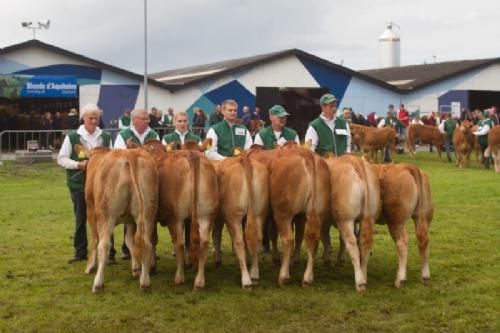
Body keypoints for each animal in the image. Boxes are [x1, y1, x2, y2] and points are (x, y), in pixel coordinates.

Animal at [77, 147, 158, 292]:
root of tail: (130, 153)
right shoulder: (131, 220)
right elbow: (130, 240)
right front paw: (135, 267)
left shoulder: (91, 211)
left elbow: (94, 240)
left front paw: (89, 266)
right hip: (148, 213)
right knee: (146, 243)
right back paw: (144, 281)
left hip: (105, 214)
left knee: (104, 245)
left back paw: (98, 283)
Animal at [143, 139, 217, 288]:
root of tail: (192, 156)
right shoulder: (189, 219)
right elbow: (189, 239)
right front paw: (188, 263)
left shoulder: (152, 216)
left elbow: (153, 239)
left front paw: (152, 266)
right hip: (205, 215)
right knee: (203, 242)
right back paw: (199, 281)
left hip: (175, 218)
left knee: (179, 243)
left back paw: (179, 277)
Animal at [213, 152, 272, 286]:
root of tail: (244, 159)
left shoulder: (218, 217)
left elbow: (216, 235)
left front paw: (217, 260)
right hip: (259, 213)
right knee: (257, 238)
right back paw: (254, 273)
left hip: (233, 217)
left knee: (239, 241)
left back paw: (246, 279)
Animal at [268, 144, 330, 286]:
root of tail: (308, 155)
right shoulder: (301, 216)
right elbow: (300, 235)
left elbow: (273, 234)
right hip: (317, 211)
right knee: (312, 239)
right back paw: (307, 278)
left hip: (282, 212)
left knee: (288, 239)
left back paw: (283, 276)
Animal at [322, 154, 380, 290]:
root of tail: (356, 160)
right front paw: (339, 259)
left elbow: (325, 238)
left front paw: (327, 259)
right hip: (369, 217)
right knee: (364, 243)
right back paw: (364, 276)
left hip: (345, 219)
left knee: (352, 243)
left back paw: (360, 282)